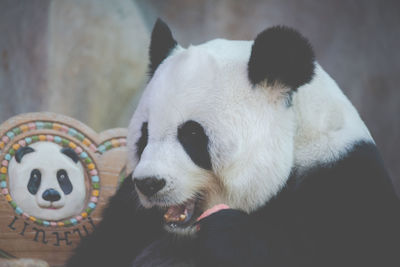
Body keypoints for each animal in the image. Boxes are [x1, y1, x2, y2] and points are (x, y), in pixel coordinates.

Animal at [67, 19, 400, 267]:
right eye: (144, 135)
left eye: (192, 135)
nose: (149, 183)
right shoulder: (128, 210)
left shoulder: (345, 182)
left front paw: (224, 229)